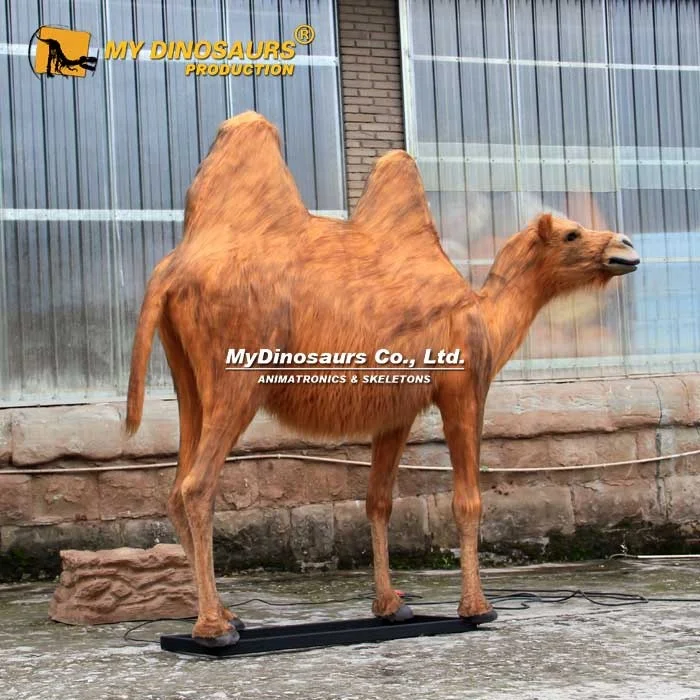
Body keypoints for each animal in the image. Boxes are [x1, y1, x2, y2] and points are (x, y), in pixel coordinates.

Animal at [125, 111, 640, 647]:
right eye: (571, 234)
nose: (625, 247)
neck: (485, 316)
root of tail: (169, 271)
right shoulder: (462, 389)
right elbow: (468, 500)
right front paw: (477, 608)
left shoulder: (396, 412)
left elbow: (378, 501)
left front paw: (391, 606)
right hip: (239, 377)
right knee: (197, 486)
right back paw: (212, 629)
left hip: (187, 376)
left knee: (176, 485)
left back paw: (227, 616)